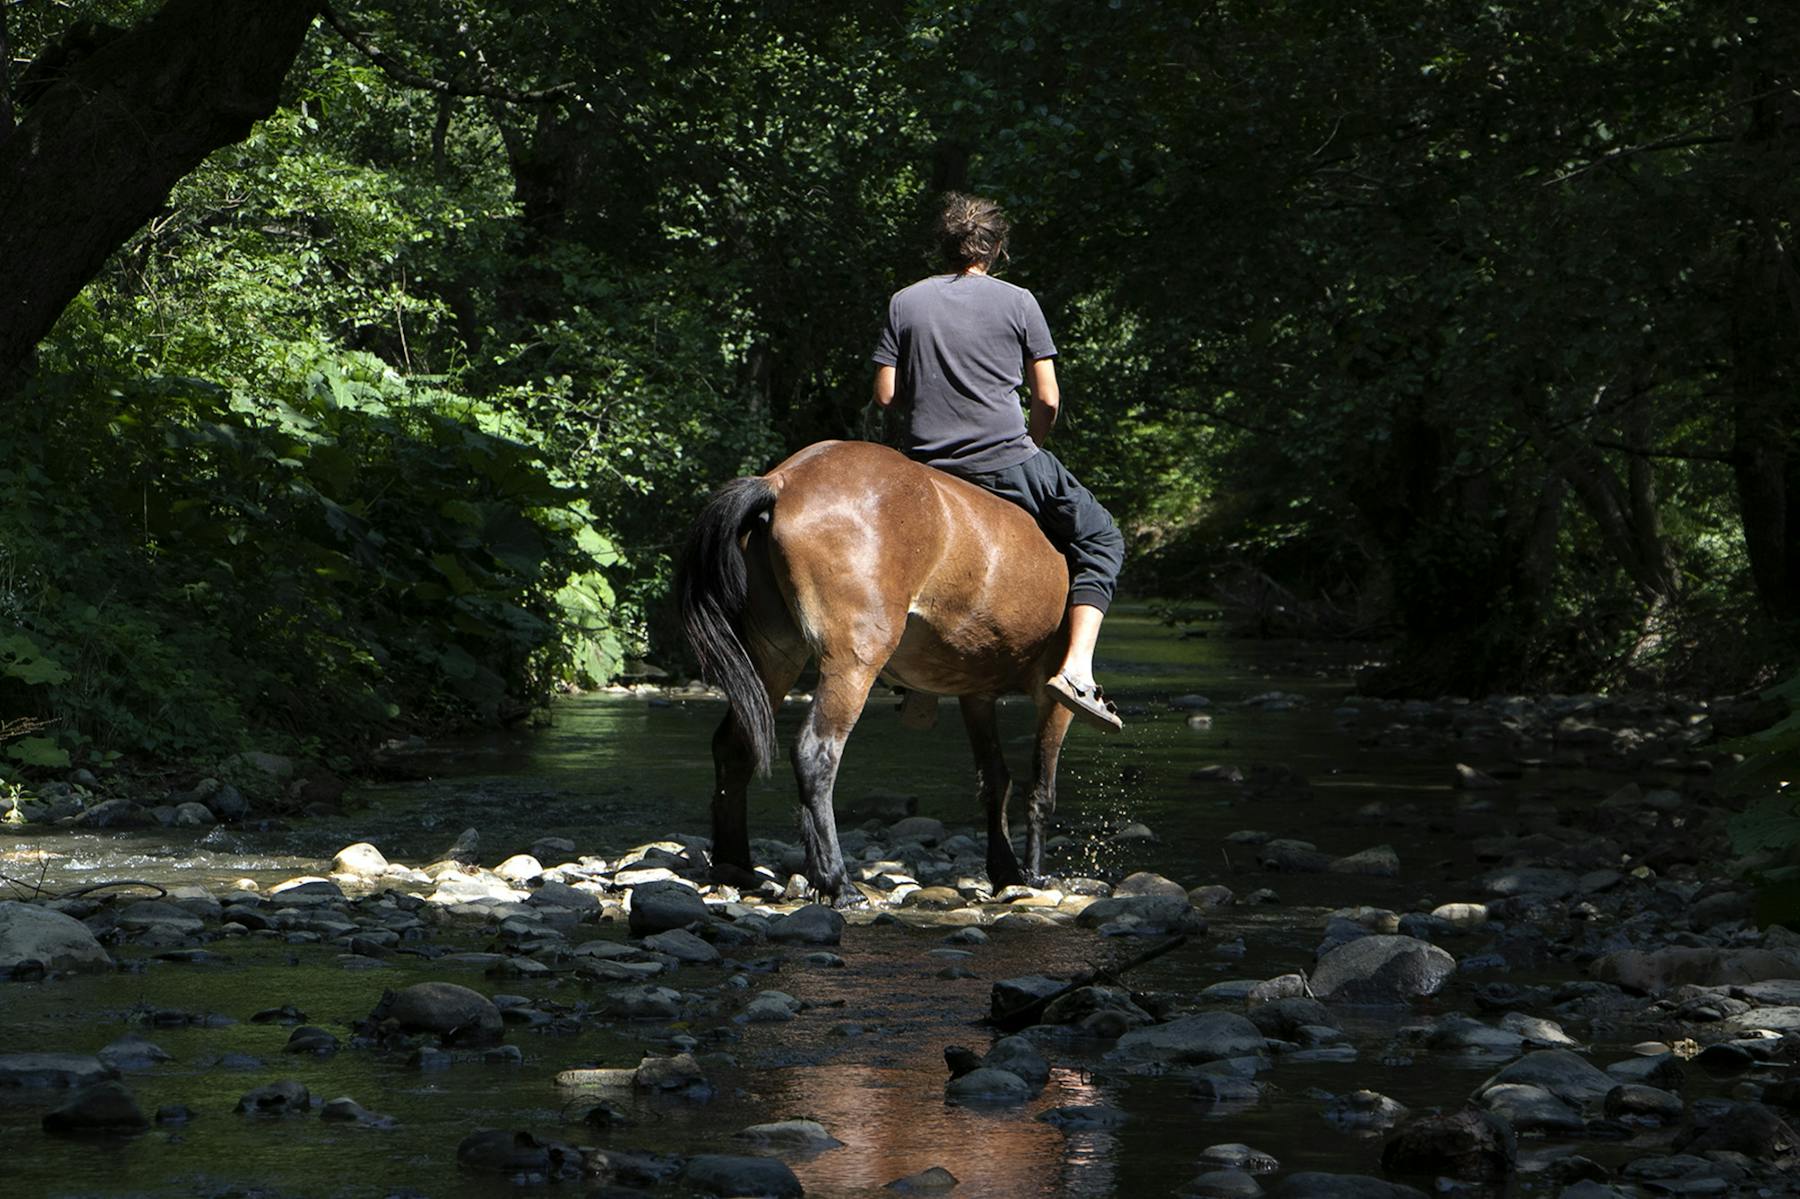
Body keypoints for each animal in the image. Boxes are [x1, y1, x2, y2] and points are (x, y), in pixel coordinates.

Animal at [676, 437, 1072, 896]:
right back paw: (837, 881)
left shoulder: (976, 694)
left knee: (734, 746)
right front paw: (1034, 873)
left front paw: (1006, 869)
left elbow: (995, 780)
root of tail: (782, 481)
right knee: (816, 752)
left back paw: (734, 865)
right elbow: (1041, 789)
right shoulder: (1052, 694)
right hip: (853, 661)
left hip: (774, 657)